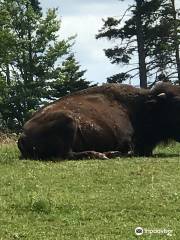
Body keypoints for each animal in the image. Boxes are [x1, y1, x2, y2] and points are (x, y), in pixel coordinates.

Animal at [17, 81, 180, 160]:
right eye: (175, 103)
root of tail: (23, 135)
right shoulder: (126, 141)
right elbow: (130, 151)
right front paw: (113, 153)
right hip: (68, 120)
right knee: (67, 155)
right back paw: (103, 155)